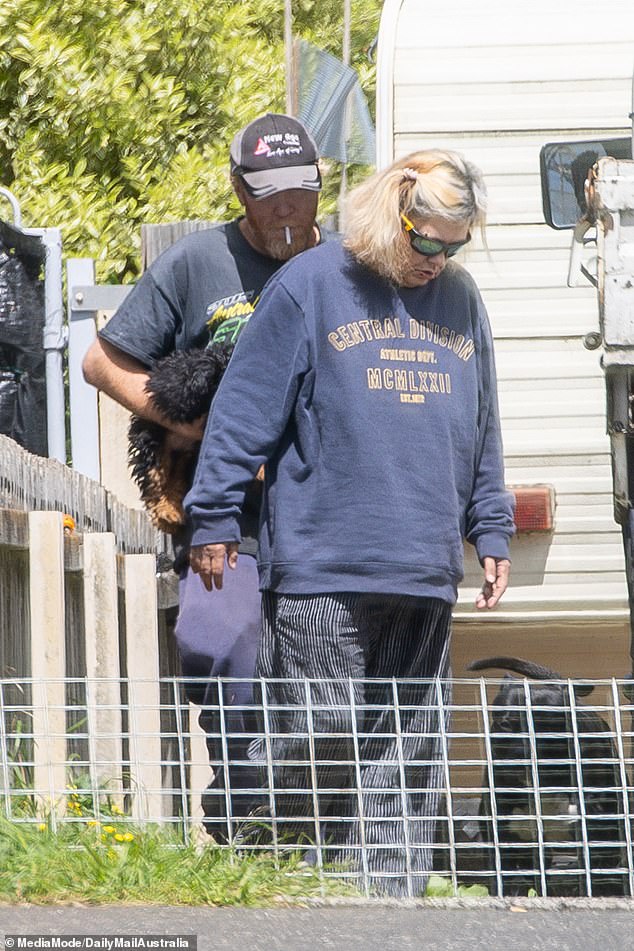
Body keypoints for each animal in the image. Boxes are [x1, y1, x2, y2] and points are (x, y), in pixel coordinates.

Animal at [127, 344, 231, 536]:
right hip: (153, 439)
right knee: (156, 475)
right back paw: (165, 513)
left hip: (185, 455)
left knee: (176, 478)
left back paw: (172, 511)